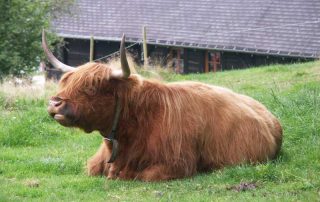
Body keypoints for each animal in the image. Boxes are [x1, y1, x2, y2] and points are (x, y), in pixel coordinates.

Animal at [42, 30, 282, 181]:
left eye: (91, 88)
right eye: (67, 83)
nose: (54, 103)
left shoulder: (176, 164)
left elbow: (138, 175)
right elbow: (93, 169)